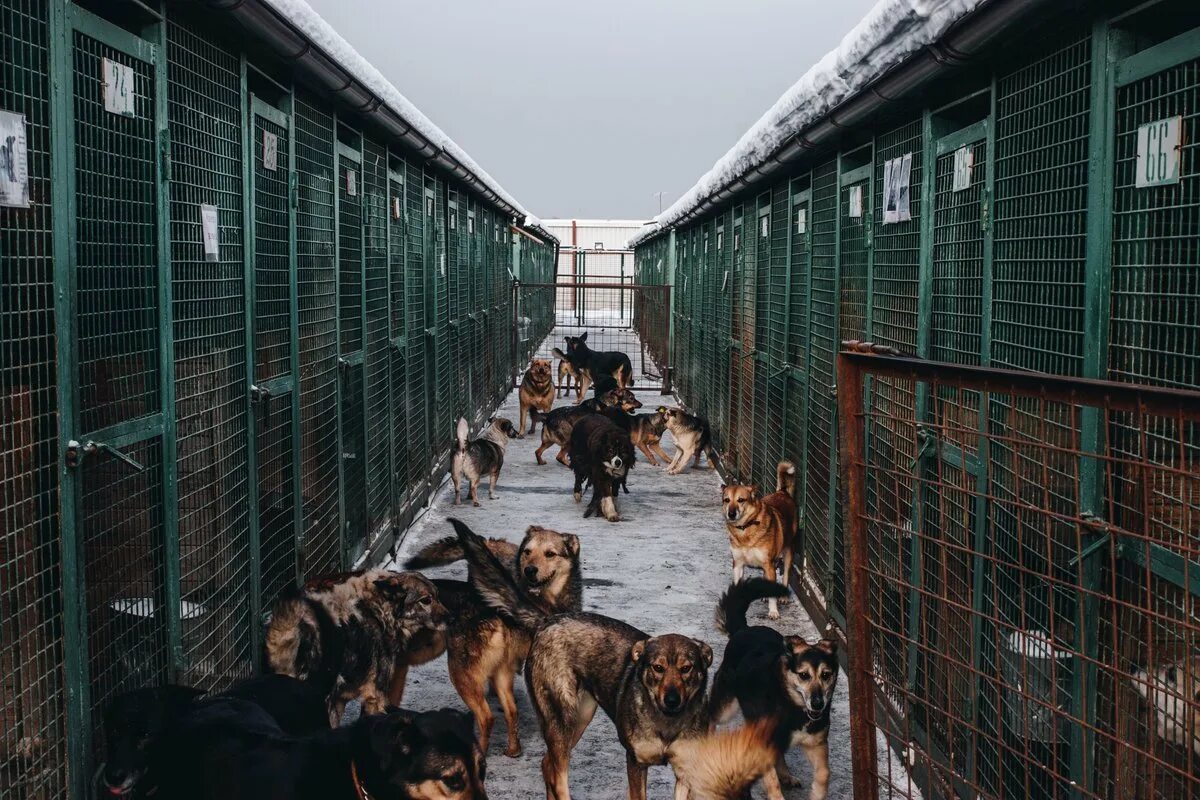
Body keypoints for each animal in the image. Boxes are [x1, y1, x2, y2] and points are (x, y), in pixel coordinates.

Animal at [265, 568, 448, 724]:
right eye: (426, 600)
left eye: (438, 596)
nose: (451, 617)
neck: (379, 608)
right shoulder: (375, 695)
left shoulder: (340, 700)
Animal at [405, 522, 583, 762]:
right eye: (528, 552)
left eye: (550, 554)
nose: (529, 570)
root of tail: (489, 541)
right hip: (497, 671)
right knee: (510, 710)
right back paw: (512, 748)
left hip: (460, 672)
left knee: (486, 717)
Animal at [705, 582, 840, 800]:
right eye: (804, 675)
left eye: (826, 675)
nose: (818, 703)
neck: (792, 705)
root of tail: (743, 630)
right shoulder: (762, 744)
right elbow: (771, 781)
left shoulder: (816, 744)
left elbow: (824, 774)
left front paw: (816, 793)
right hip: (726, 707)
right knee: (711, 717)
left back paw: (786, 775)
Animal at [720, 462, 796, 618]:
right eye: (727, 500)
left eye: (741, 500)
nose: (731, 514)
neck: (745, 529)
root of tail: (782, 492)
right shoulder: (738, 564)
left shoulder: (769, 564)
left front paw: (773, 611)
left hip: (788, 553)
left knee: (785, 575)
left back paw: (783, 597)